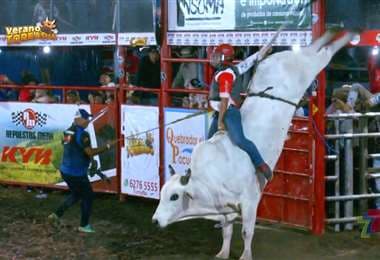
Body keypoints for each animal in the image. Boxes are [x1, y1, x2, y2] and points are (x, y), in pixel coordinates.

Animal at [152, 29, 356, 258]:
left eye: (174, 196)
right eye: (162, 193)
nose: (155, 220)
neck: (209, 179)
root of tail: (280, 59)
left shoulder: (249, 200)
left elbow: (246, 232)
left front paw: (245, 255)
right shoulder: (225, 208)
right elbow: (227, 230)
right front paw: (223, 252)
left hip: (311, 65)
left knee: (325, 53)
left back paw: (345, 35)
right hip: (304, 59)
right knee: (315, 47)